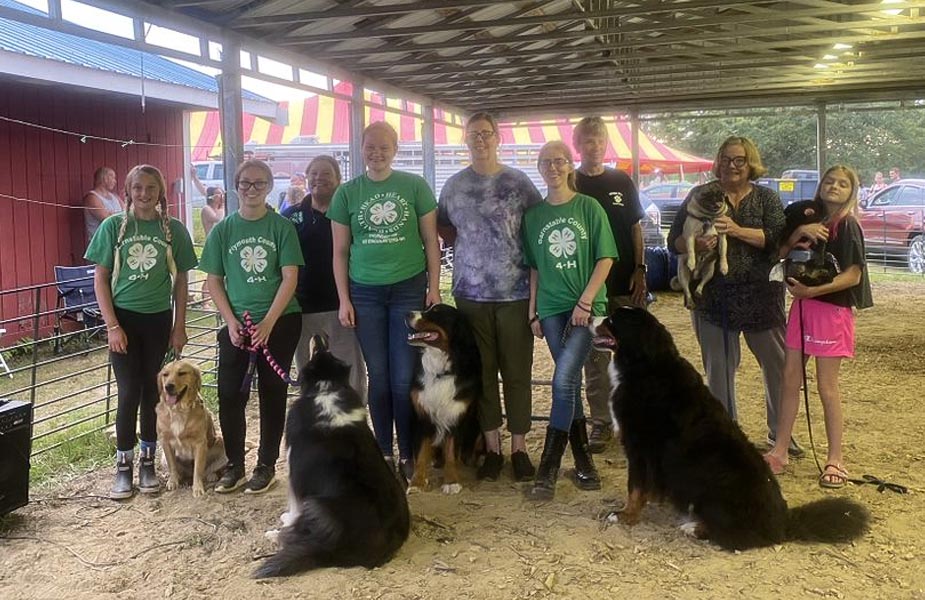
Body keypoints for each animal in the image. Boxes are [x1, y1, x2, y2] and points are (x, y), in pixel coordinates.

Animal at [254, 332, 410, 576]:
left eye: (319, 351)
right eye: (326, 350)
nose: (319, 334)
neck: (326, 388)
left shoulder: (295, 473)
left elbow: (294, 505)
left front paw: (286, 519)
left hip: (317, 506)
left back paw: (275, 534)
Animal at [406, 302, 480, 494]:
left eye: (436, 312)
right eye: (427, 307)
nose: (407, 314)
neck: (440, 371)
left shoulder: (456, 415)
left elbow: (451, 453)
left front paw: (451, 481)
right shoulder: (422, 416)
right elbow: (421, 454)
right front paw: (417, 482)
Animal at [592, 308, 868, 552]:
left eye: (612, 320)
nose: (591, 316)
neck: (645, 366)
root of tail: (783, 521)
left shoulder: (639, 447)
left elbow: (635, 487)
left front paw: (624, 515)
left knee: (736, 536)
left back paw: (693, 528)